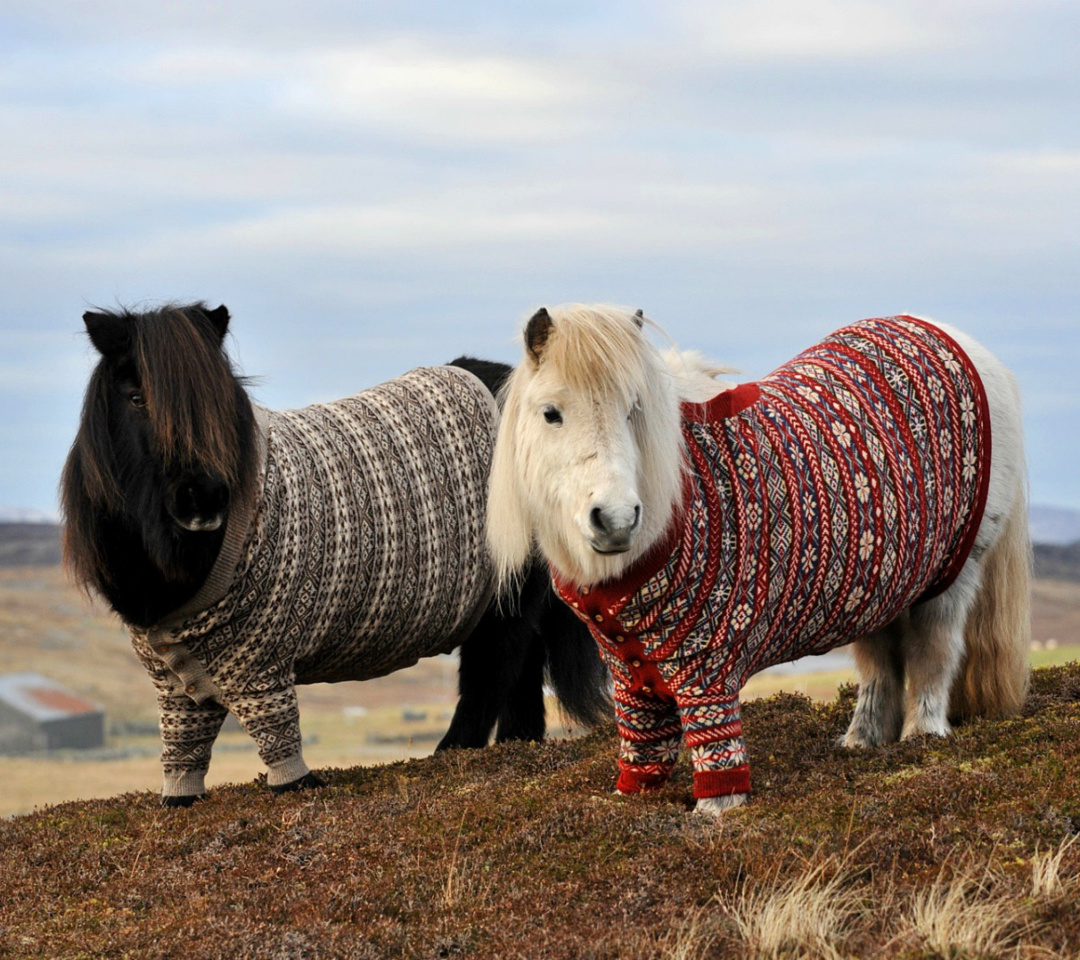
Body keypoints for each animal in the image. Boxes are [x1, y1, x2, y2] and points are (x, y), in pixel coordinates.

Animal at [63, 302, 613, 803]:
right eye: (135, 397)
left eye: (220, 400)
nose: (204, 499)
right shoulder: (175, 684)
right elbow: (184, 747)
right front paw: (180, 797)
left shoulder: (263, 665)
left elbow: (278, 737)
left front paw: (296, 786)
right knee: (520, 674)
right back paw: (515, 746)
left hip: (505, 597)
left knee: (491, 674)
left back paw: (452, 753)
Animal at [488, 302, 1028, 812]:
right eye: (551, 412)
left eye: (633, 409)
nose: (617, 519)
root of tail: (956, 340)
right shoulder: (630, 676)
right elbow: (643, 749)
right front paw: (629, 801)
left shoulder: (707, 668)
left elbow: (716, 750)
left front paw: (714, 811)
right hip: (878, 585)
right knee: (880, 664)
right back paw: (862, 741)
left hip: (953, 575)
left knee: (934, 651)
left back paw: (923, 738)